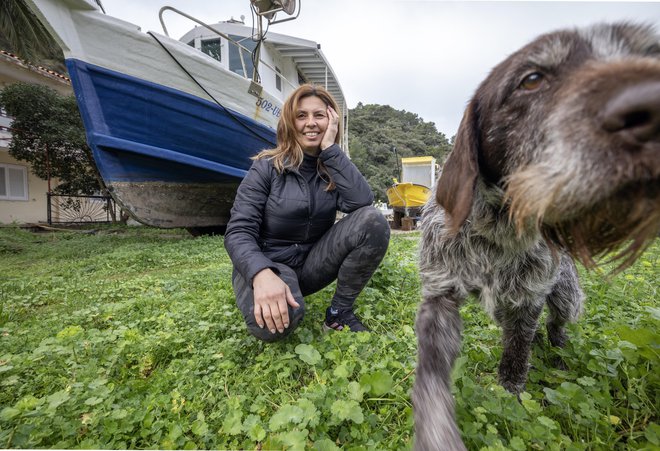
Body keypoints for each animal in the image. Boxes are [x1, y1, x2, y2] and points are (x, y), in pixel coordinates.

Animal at [412, 23, 660, 450]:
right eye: (531, 79)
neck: (496, 233)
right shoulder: (440, 294)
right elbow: (430, 375)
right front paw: (436, 429)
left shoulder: (527, 301)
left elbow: (516, 355)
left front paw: (510, 397)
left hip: (565, 296)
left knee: (558, 325)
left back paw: (559, 355)